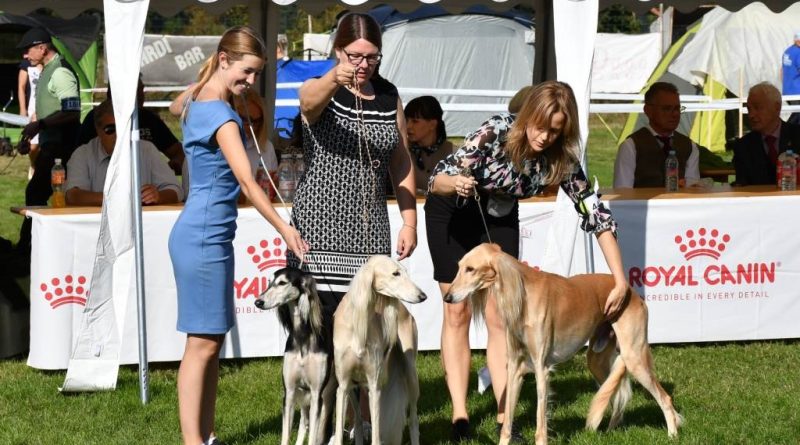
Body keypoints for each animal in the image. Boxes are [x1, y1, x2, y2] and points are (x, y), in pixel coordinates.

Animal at [255, 267, 336, 445]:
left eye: (282, 283)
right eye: (270, 282)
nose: (258, 302)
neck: (302, 335)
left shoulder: (316, 394)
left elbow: (314, 436)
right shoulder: (290, 392)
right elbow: (287, 435)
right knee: (304, 423)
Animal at [332, 255, 426, 445]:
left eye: (405, 271)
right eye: (395, 273)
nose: (423, 296)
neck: (357, 323)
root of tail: (404, 309)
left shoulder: (374, 386)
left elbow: (376, 436)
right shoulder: (343, 385)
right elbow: (339, 434)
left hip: (411, 375)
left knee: (413, 420)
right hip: (354, 387)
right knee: (358, 421)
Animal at [444, 243, 682, 445]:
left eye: (470, 269)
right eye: (458, 267)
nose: (447, 297)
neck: (524, 296)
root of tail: (631, 291)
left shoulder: (541, 368)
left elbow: (540, 424)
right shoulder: (514, 368)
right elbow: (507, 423)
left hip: (634, 356)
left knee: (664, 397)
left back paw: (672, 434)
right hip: (597, 360)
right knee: (618, 395)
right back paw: (610, 431)